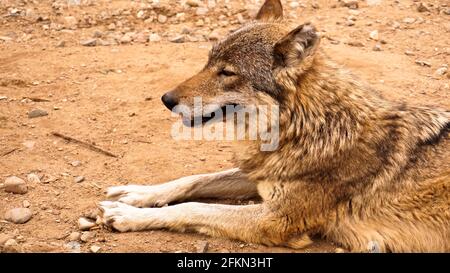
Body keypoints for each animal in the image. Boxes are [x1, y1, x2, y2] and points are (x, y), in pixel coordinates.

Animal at [99, 0, 450, 252]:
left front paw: (127, 215)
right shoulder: (261, 175)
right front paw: (135, 194)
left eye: (227, 73)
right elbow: (193, 180)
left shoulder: (277, 219)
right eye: (208, 63)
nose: (166, 99)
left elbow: (192, 208)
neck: (309, 127)